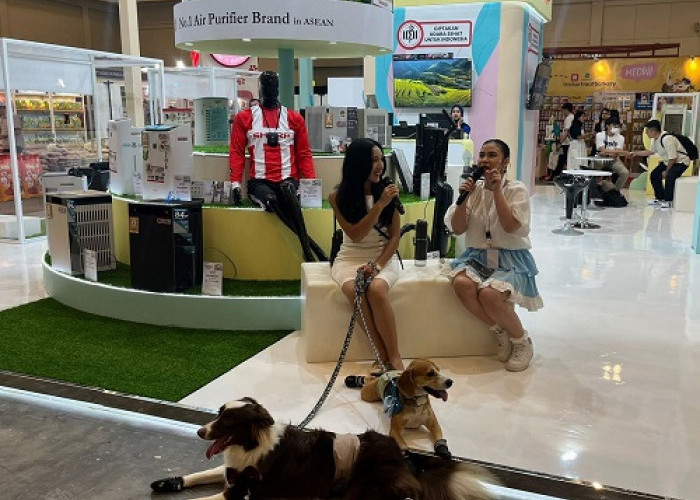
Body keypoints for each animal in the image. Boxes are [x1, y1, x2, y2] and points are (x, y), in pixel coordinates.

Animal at [151, 397, 493, 500]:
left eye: (228, 421)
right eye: (218, 413)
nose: (200, 431)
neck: (253, 444)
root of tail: (403, 457)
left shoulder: (243, 491)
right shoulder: (230, 471)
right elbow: (198, 475)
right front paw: (169, 482)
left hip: (361, 489)